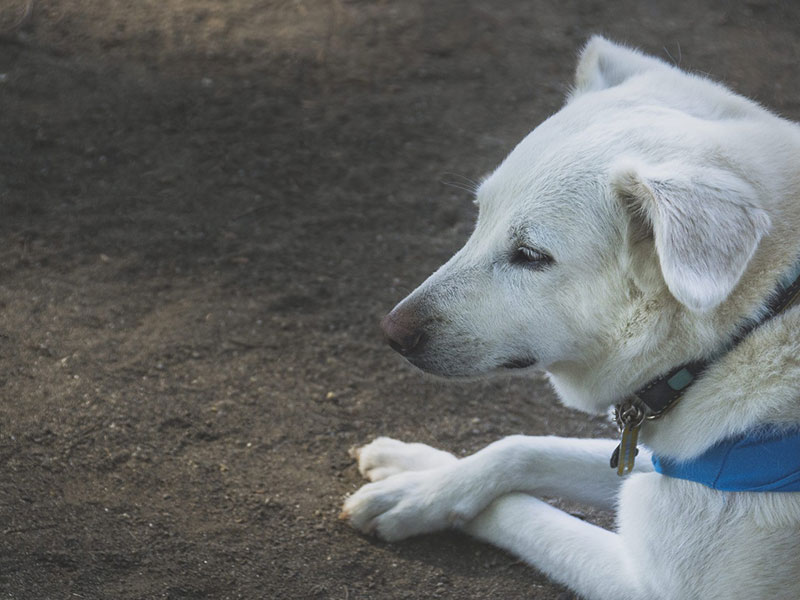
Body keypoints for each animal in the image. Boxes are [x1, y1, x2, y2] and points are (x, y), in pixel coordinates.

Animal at [342, 38, 800, 600]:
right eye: (479, 216)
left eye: (530, 256)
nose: (391, 333)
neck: (744, 333)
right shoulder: (638, 461)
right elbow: (518, 448)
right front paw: (417, 475)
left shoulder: (648, 582)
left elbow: (519, 511)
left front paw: (411, 497)